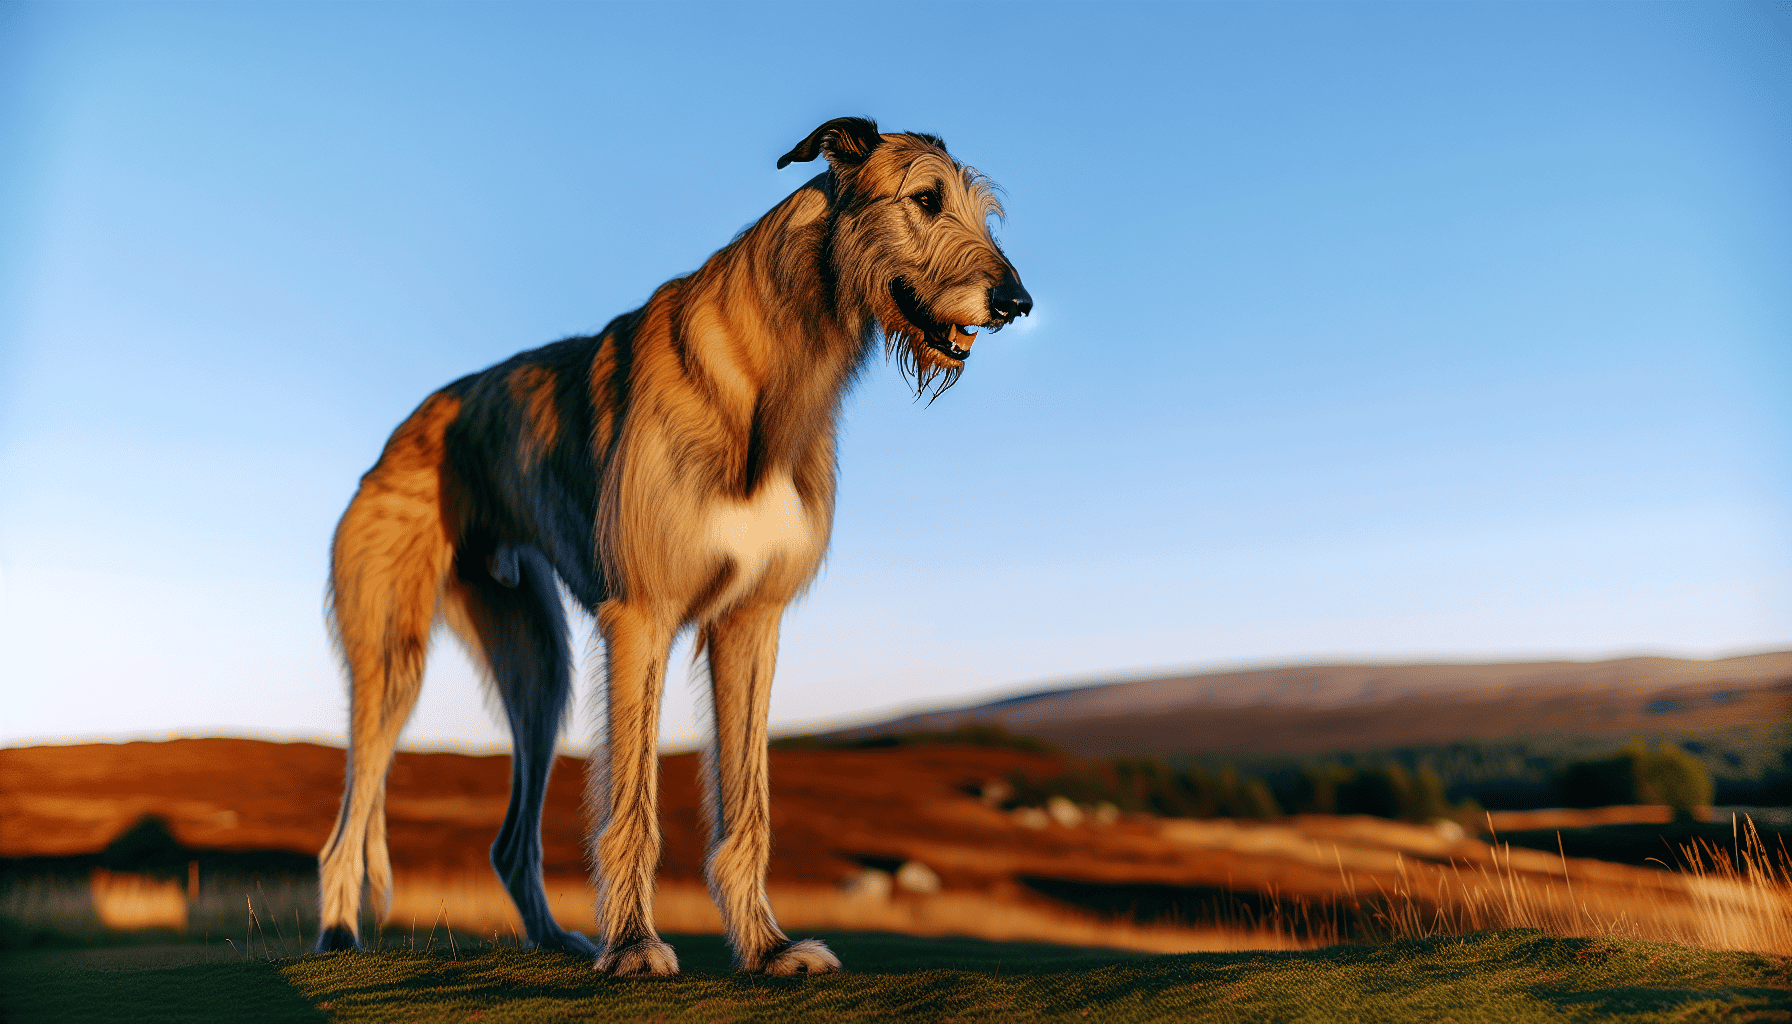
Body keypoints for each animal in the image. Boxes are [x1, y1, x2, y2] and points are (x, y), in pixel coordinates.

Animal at [315, 116, 1032, 975]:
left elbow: (748, 804)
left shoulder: (752, 623)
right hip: (392, 659)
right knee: (347, 823)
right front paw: (632, 945)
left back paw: (556, 940)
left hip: (537, 667)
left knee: (511, 841)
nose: (1017, 302)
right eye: (925, 199)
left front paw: (767, 947)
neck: (770, 373)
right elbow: (631, 804)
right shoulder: (641, 616)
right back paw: (339, 936)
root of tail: (400, 433)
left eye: (985, 214)